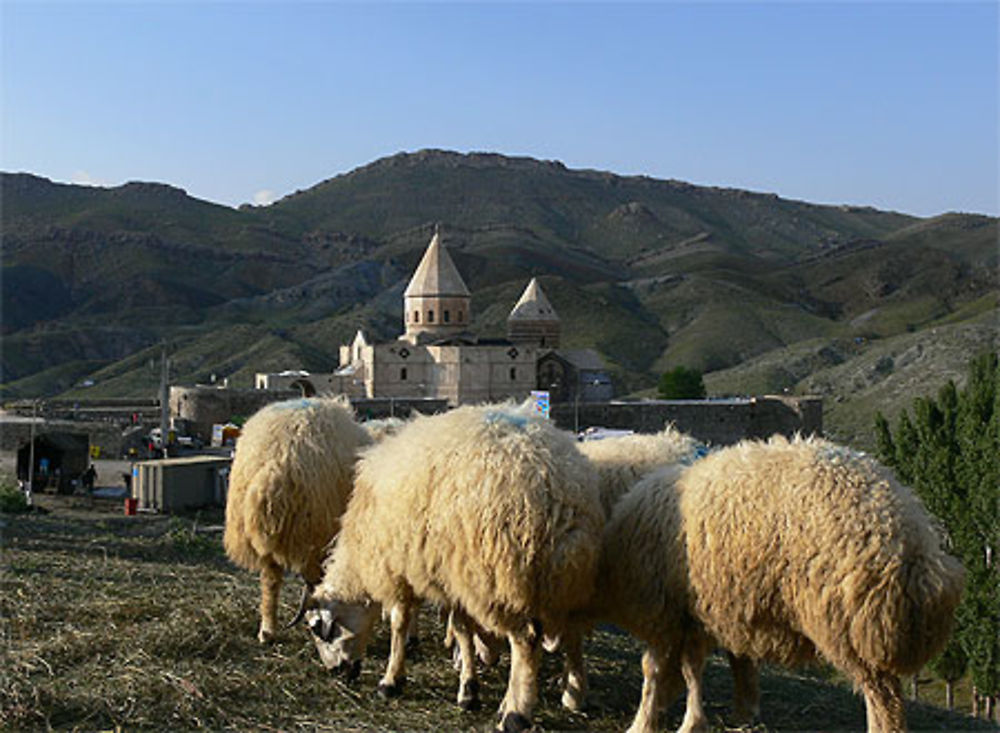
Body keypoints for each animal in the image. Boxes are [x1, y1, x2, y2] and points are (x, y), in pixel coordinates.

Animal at [223, 398, 372, 644]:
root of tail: (275, 462)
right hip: (314, 530)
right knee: (313, 582)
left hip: (263, 534)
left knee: (270, 579)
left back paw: (267, 631)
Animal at [304, 404, 600, 728]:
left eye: (323, 631)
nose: (337, 673)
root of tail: (553, 483)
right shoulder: (450, 578)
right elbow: (461, 629)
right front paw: (468, 688)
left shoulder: (404, 570)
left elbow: (403, 624)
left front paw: (392, 681)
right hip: (562, 576)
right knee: (571, 630)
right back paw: (571, 694)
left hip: (502, 577)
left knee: (525, 642)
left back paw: (515, 713)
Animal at [588, 434, 964, 732]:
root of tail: (910, 536)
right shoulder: (701, 612)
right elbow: (699, 667)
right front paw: (720, 716)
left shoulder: (665, 608)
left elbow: (655, 670)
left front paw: (645, 723)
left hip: (850, 622)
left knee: (883, 698)